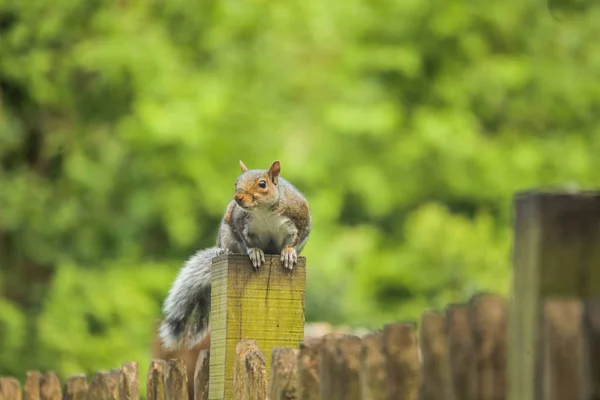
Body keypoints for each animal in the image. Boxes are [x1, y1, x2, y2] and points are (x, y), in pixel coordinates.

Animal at [157, 159, 312, 350]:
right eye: (236, 182)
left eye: (262, 184)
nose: (238, 198)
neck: (264, 211)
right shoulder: (241, 223)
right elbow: (247, 241)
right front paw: (255, 252)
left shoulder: (299, 219)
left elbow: (294, 239)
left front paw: (289, 252)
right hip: (225, 231)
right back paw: (222, 250)